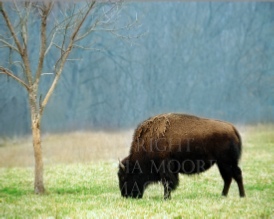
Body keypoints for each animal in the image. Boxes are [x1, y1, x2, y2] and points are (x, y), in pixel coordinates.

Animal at [117, 114, 246, 199]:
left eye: (124, 177)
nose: (125, 195)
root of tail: (233, 129)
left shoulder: (165, 169)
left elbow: (168, 183)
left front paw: (166, 198)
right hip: (222, 164)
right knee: (228, 178)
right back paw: (223, 195)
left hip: (227, 162)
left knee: (236, 175)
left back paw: (241, 195)